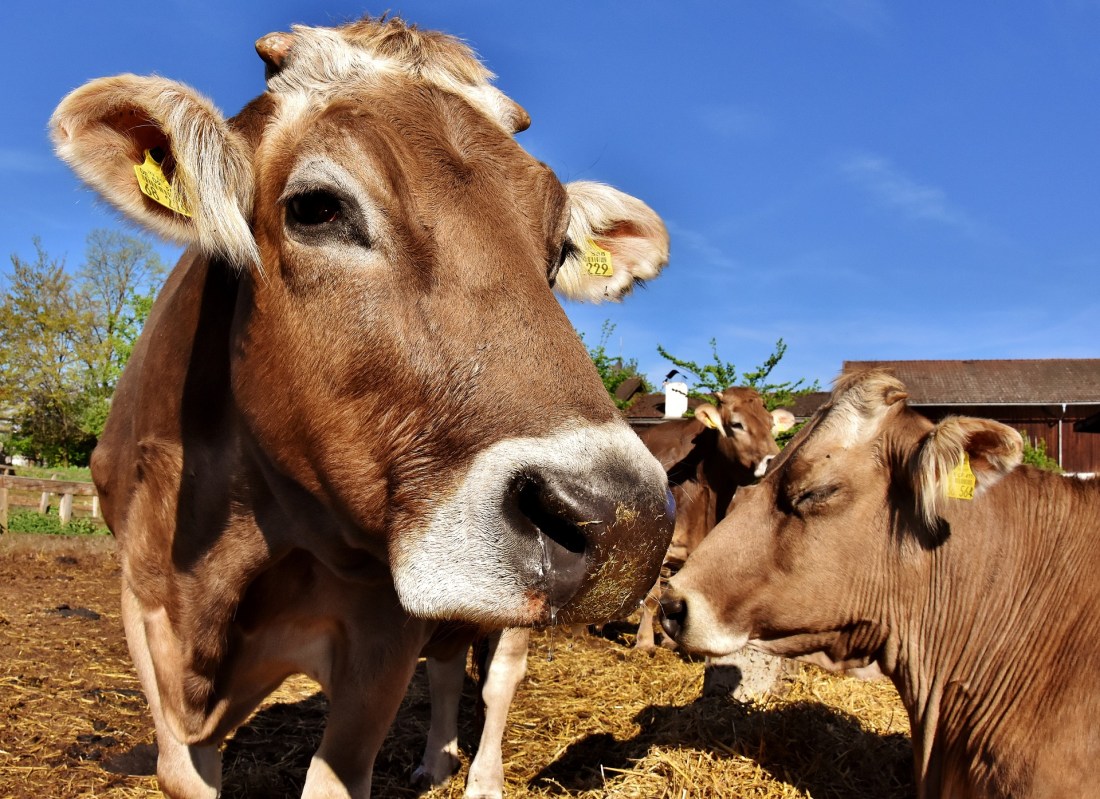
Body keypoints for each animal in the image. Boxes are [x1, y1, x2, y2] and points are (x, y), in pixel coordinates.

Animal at [51, 16, 675, 799]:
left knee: (498, 680)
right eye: (316, 207)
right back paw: (436, 758)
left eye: (561, 247)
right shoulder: (146, 612)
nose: (627, 521)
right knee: (449, 667)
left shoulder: (381, 638)